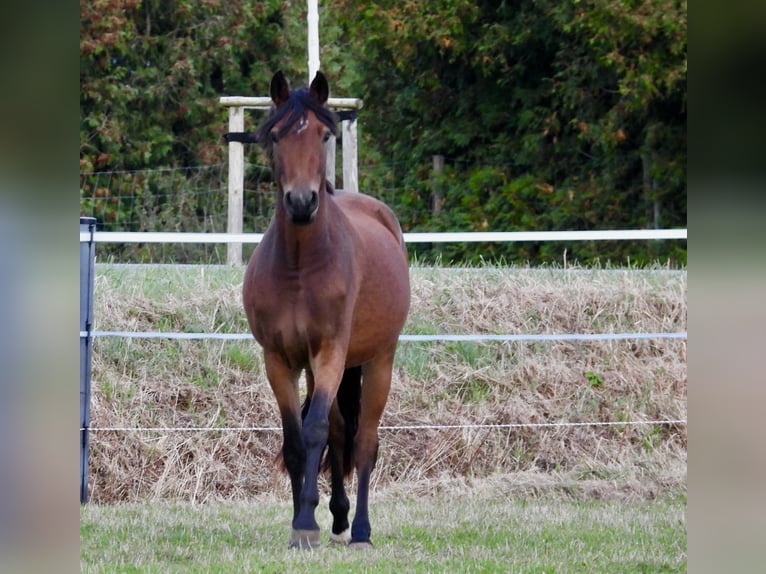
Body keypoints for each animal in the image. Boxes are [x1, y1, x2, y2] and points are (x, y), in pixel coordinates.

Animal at [242, 71, 410, 549]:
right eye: (276, 136)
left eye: (323, 134)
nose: (302, 203)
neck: (301, 266)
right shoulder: (280, 359)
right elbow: (297, 439)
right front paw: (303, 520)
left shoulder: (332, 352)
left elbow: (315, 429)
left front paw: (306, 522)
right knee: (338, 433)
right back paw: (337, 517)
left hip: (378, 361)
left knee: (364, 440)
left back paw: (361, 530)